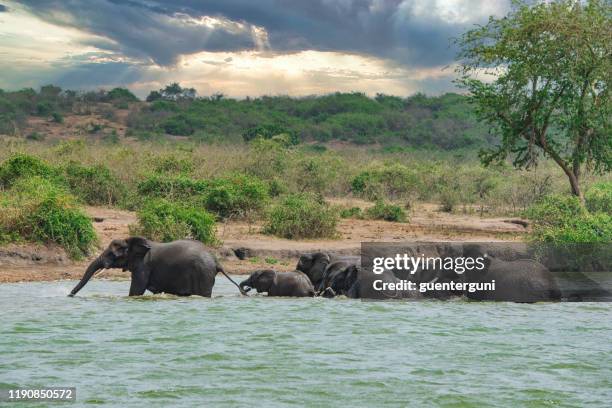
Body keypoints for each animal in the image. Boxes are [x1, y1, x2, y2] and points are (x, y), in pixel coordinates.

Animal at [67, 236, 244, 296]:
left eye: (112, 254)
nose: (69, 294)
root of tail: (216, 261)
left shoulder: (143, 266)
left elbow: (136, 291)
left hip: (203, 275)